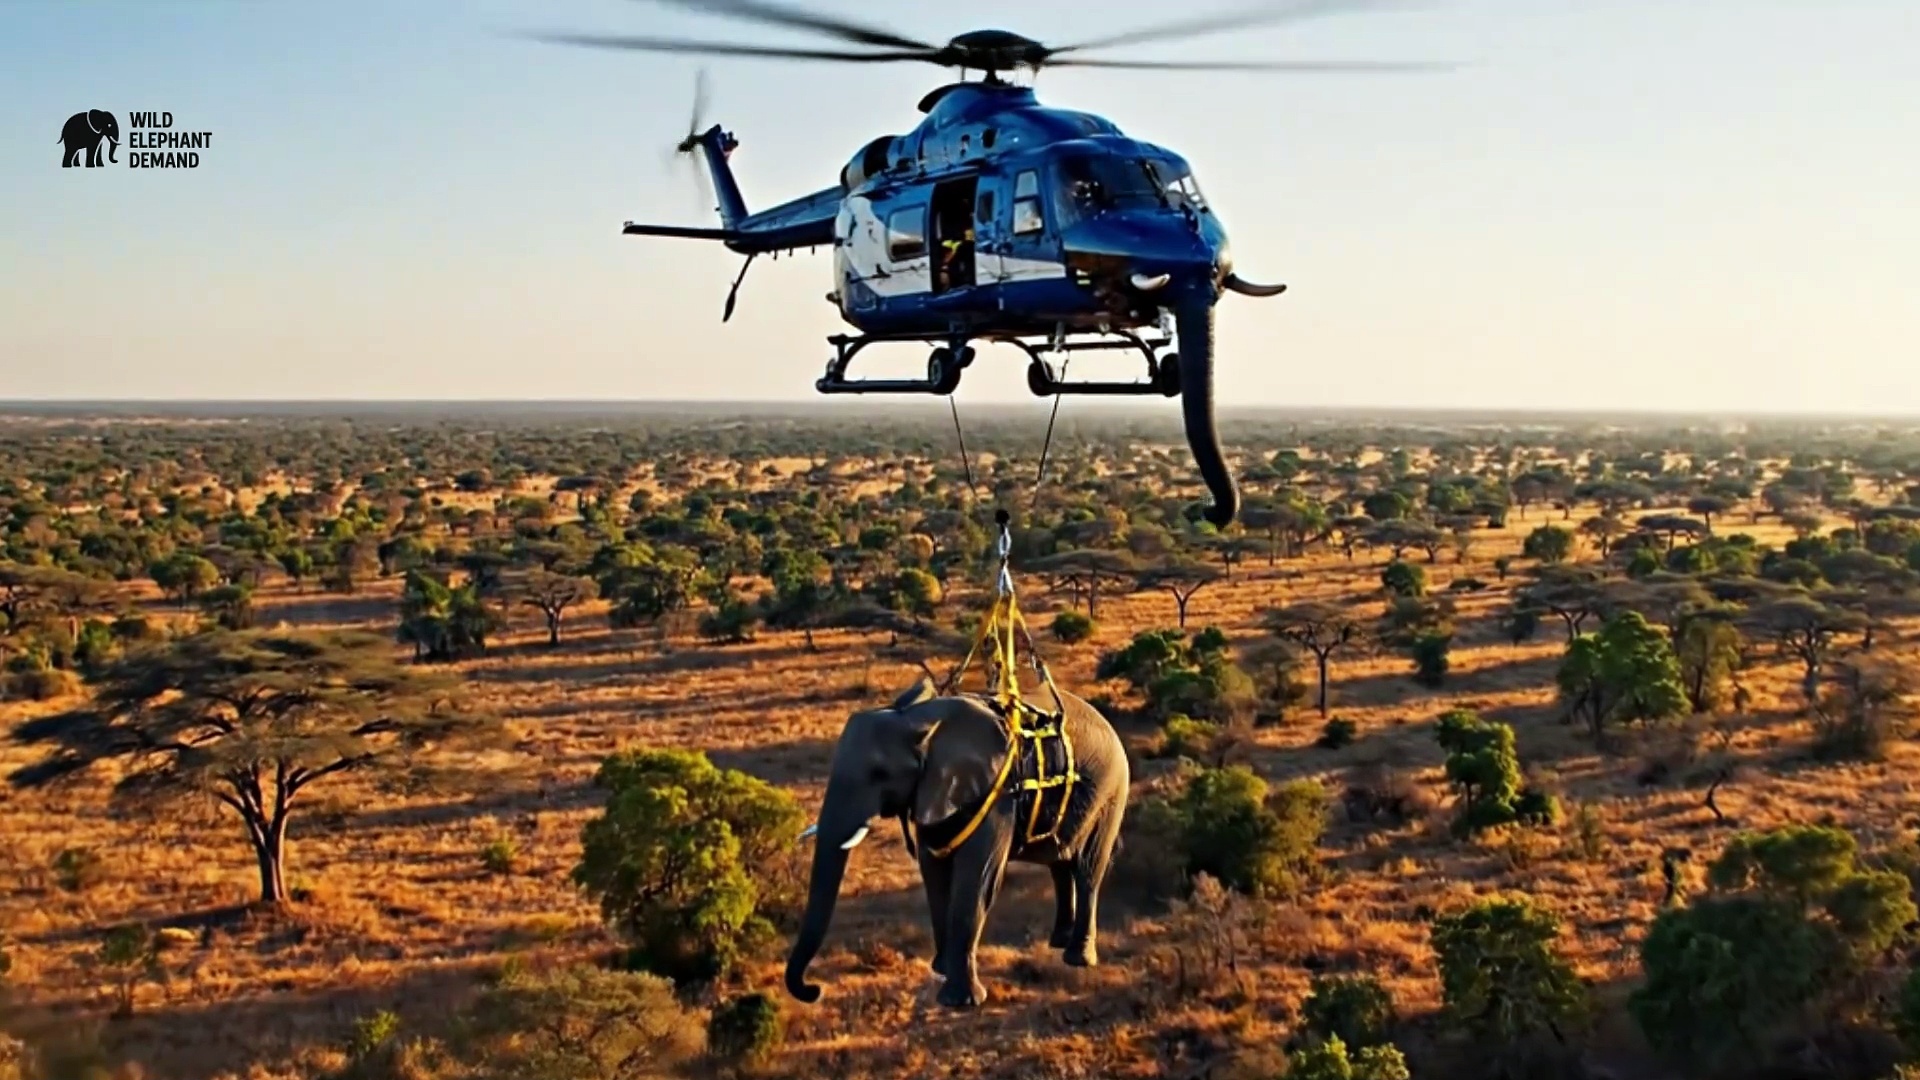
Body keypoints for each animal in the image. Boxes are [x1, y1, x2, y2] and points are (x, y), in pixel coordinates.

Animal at [785, 677, 1130, 1010]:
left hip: (1111, 791)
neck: (916, 720)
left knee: (1087, 870)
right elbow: (934, 874)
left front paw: (960, 1001)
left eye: (879, 773)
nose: (813, 991)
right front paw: (942, 969)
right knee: (1058, 861)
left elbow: (976, 878)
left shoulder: (997, 796)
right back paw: (1058, 941)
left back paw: (1078, 958)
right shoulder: (933, 791)